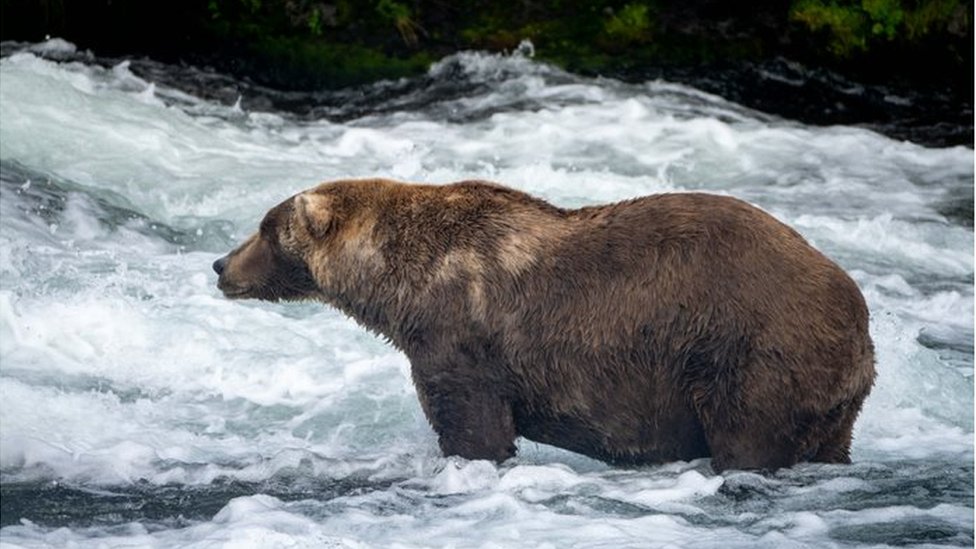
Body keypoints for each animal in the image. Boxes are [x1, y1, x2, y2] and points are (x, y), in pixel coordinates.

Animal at [215, 179, 876, 470]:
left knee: (747, 435)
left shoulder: (460, 333)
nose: (220, 264)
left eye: (266, 228)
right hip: (830, 394)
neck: (400, 286)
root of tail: (859, 316)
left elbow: (471, 422)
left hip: (752, 349)